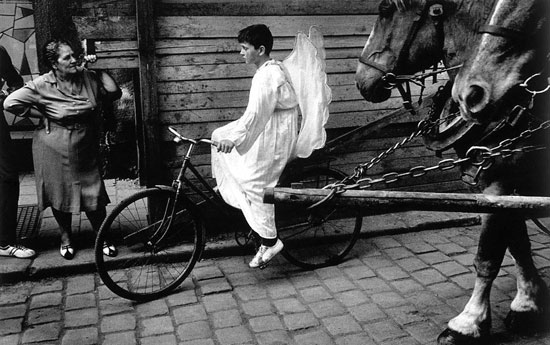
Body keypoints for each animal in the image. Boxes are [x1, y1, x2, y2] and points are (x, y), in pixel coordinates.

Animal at [356, 0, 548, 344]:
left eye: (385, 9)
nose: (361, 79)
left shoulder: (500, 179)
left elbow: (489, 254)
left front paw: (468, 322)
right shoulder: (496, 183)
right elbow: (517, 244)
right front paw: (527, 303)